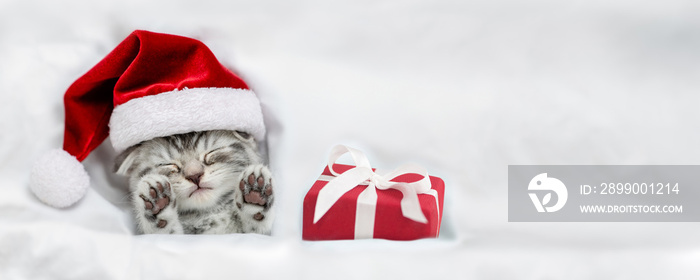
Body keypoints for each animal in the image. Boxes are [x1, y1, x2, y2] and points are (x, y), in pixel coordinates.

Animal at [114, 130, 274, 235]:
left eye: (212, 152)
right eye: (169, 165)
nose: (195, 175)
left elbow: (255, 231)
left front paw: (255, 195)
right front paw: (157, 206)